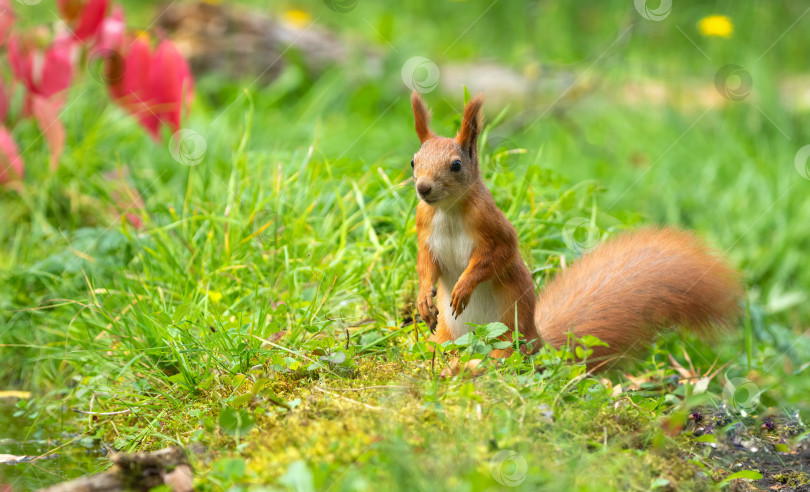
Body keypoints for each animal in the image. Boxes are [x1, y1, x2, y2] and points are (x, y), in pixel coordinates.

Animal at [410, 91, 740, 368]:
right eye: (414, 161)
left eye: (456, 165)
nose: (423, 188)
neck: (449, 210)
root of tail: (539, 342)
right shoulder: (424, 227)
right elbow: (425, 263)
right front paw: (424, 299)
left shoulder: (493, 226)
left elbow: (495, 256)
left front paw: (463, 287)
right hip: (448, 333)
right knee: (445, 346)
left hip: (507, 332)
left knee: (503, 355)